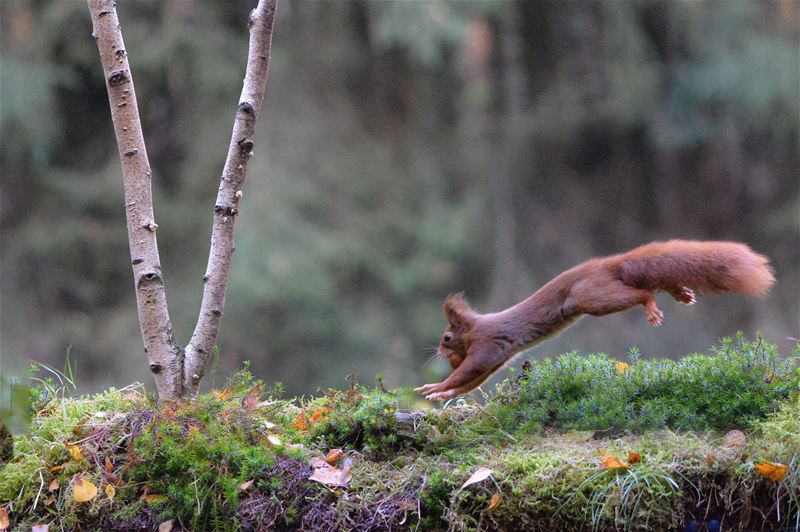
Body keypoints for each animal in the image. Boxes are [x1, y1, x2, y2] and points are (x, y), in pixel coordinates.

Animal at [418, 240, 776, 400]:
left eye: (447, 337)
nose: (439, 352)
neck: (475, 328)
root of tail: (604, 265)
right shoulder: (498, 358)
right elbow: (472, 382)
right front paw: (441, 395)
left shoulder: (486, 346)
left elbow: (466, 373)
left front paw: (433, 387)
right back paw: (679, 292)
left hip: (594, 298)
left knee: (642, 292)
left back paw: (651, 306)